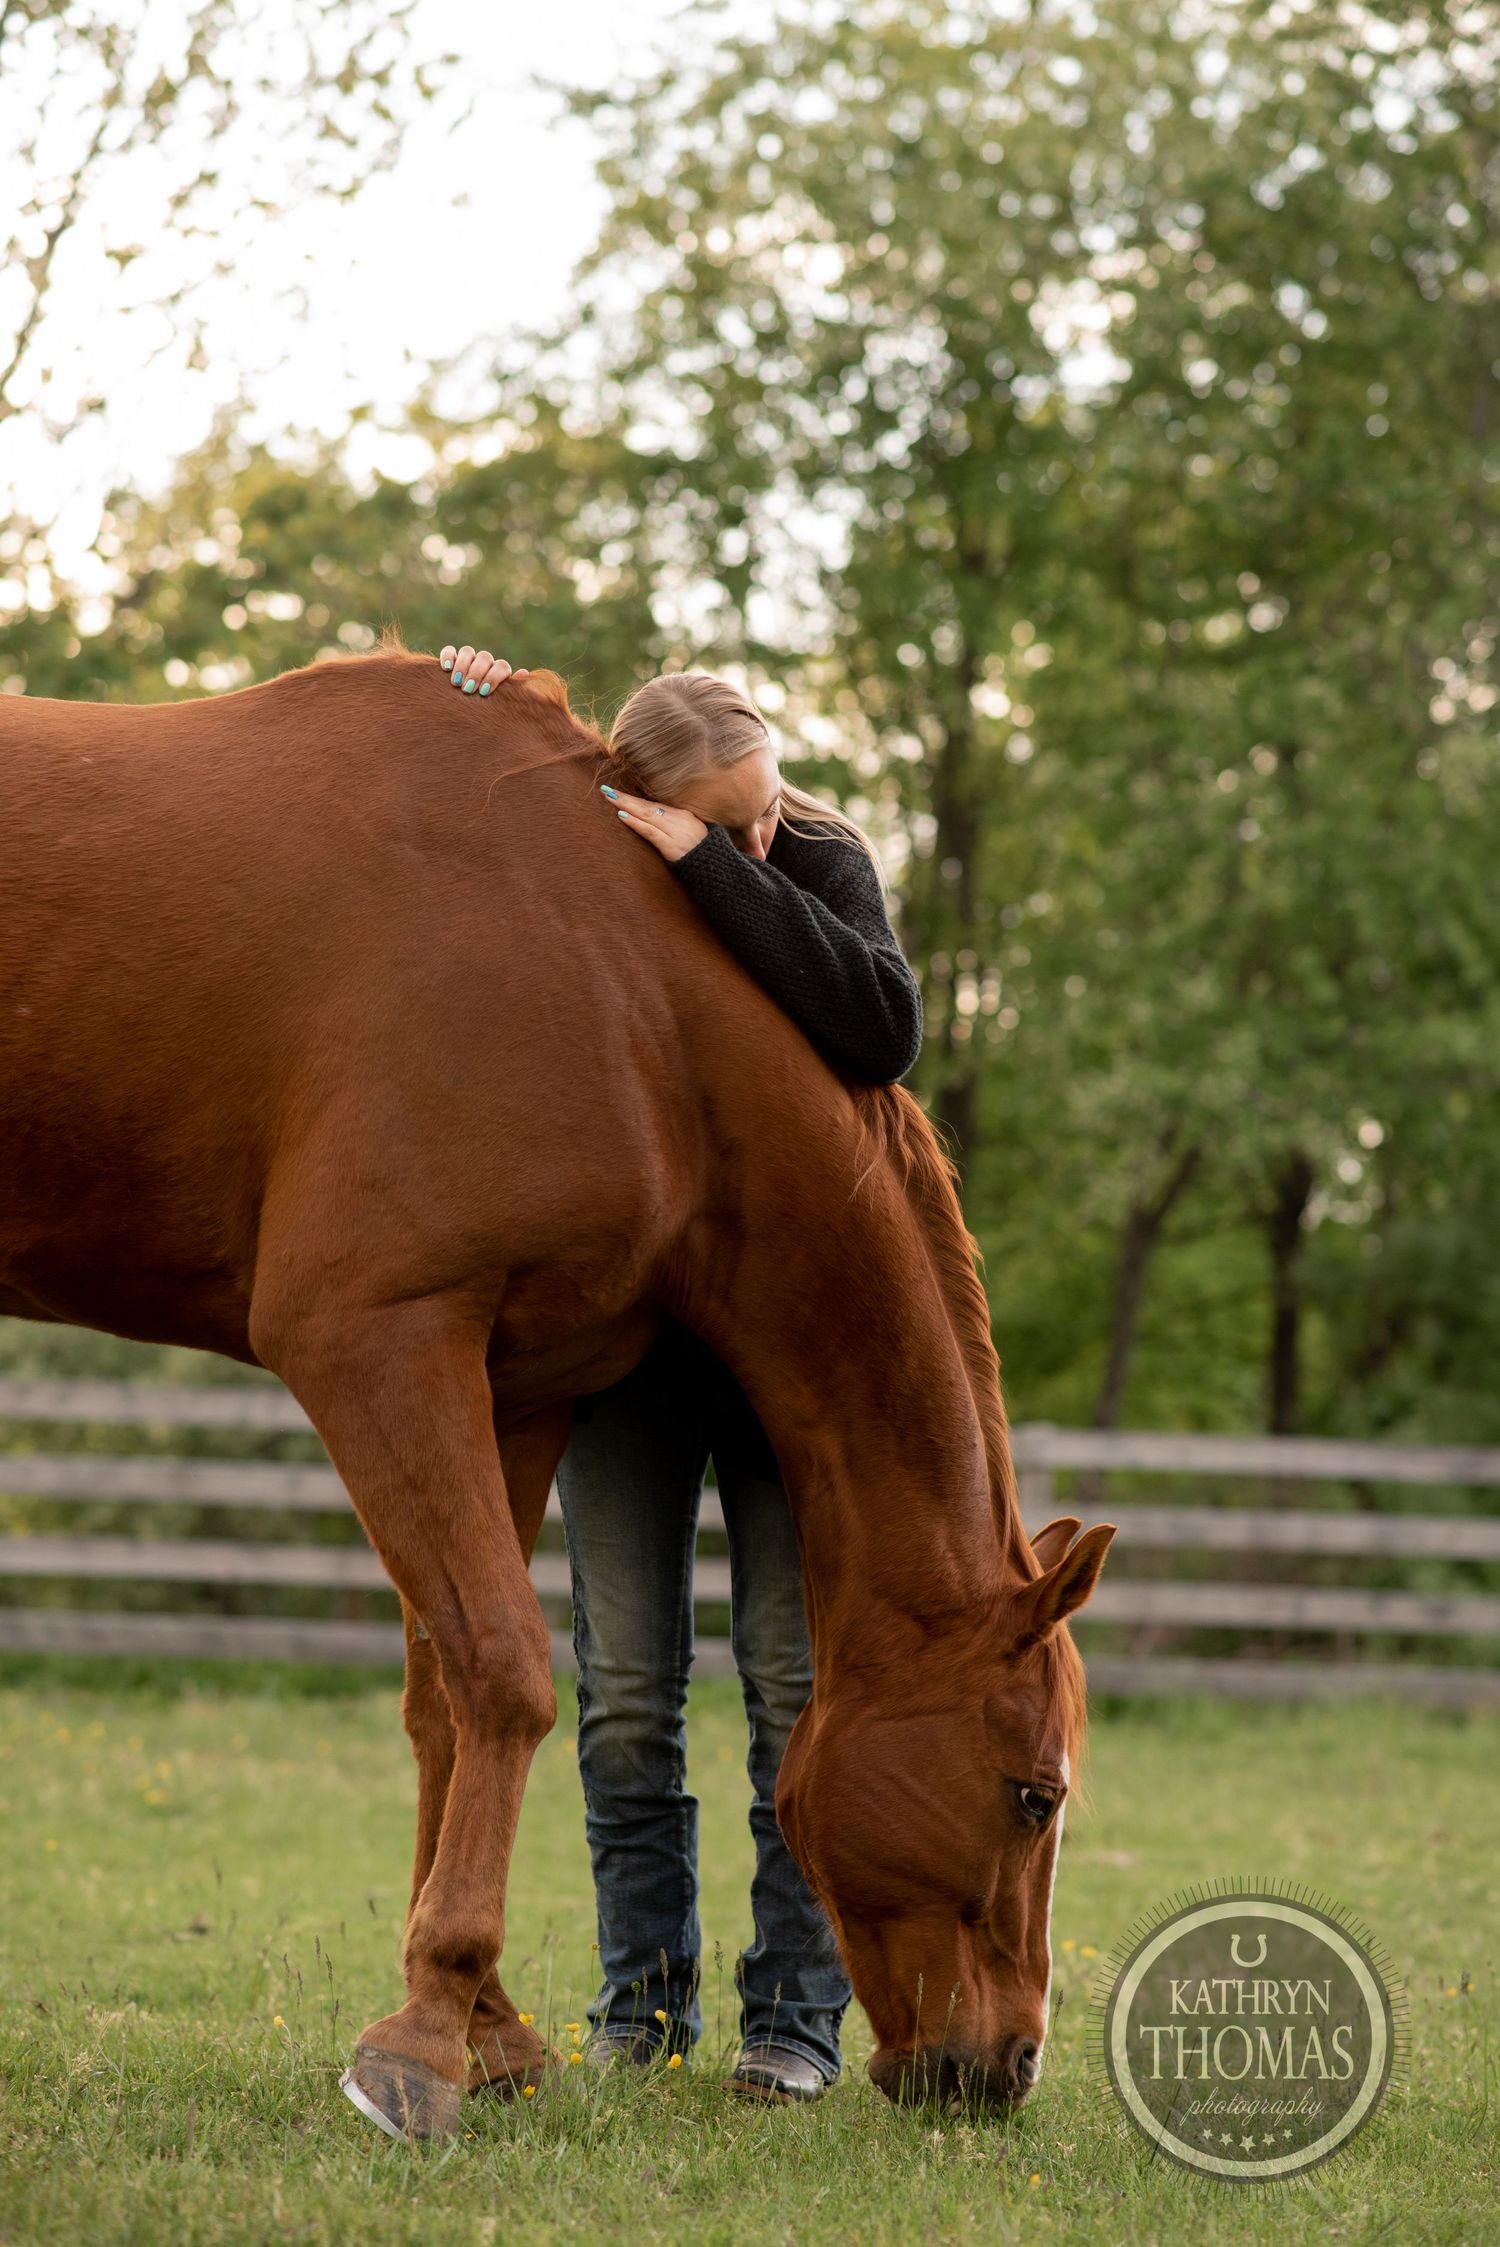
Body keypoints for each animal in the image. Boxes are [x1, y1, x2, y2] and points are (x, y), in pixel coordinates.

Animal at [0, 649, 1113, 2139]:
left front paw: (484, 2027)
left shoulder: (511, 1386)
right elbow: (506, 1673)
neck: (620, 997)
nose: (1002, 2070)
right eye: (1034, 1794)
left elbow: (446, 1702)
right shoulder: (377, 1343)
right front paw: (426, 2040)